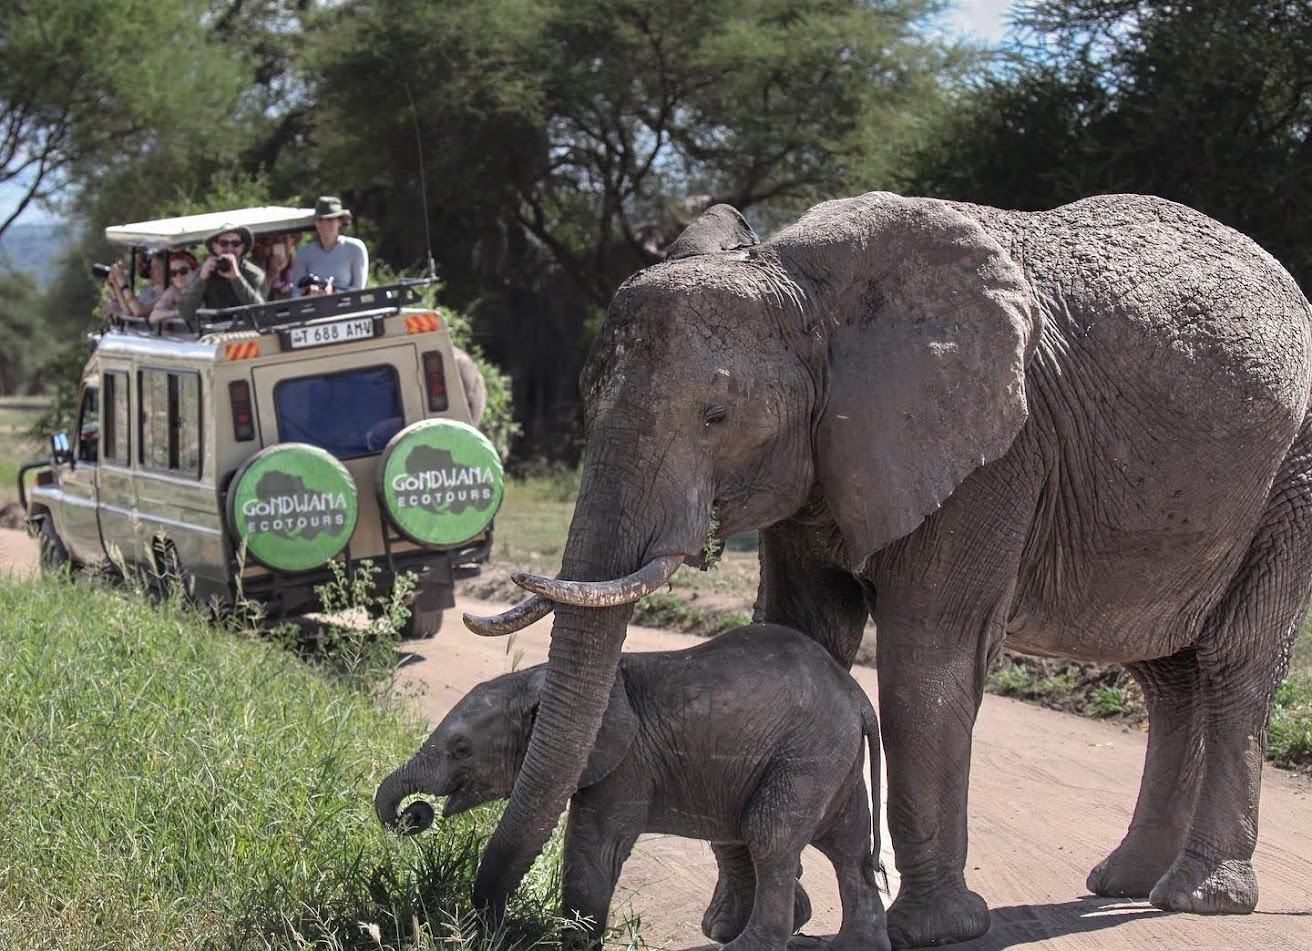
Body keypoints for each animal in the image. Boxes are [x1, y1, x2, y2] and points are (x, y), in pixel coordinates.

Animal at [375, 623, 890, 951]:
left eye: (461, 749)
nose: (413, 814)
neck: (541, 679)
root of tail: (858, 697)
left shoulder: (626, 765)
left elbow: (593, 845)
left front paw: (575, 943)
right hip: (829, 755)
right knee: (847, 845)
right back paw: (856, 945)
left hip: (805, 754)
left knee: (771, 835)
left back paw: (746, 947)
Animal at [464, 191, 1312, 948]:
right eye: (585, 393)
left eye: (717, 415)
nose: (492, 920)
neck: (801, 281)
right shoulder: (822, 456)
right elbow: (799, 629)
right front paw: (740, 923)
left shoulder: (996, 453)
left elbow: (926, 651)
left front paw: (936, 931)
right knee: (1163, 672)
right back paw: (1125, 881)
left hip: (1290, 474)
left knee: (1234, 660)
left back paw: (1199, 895)